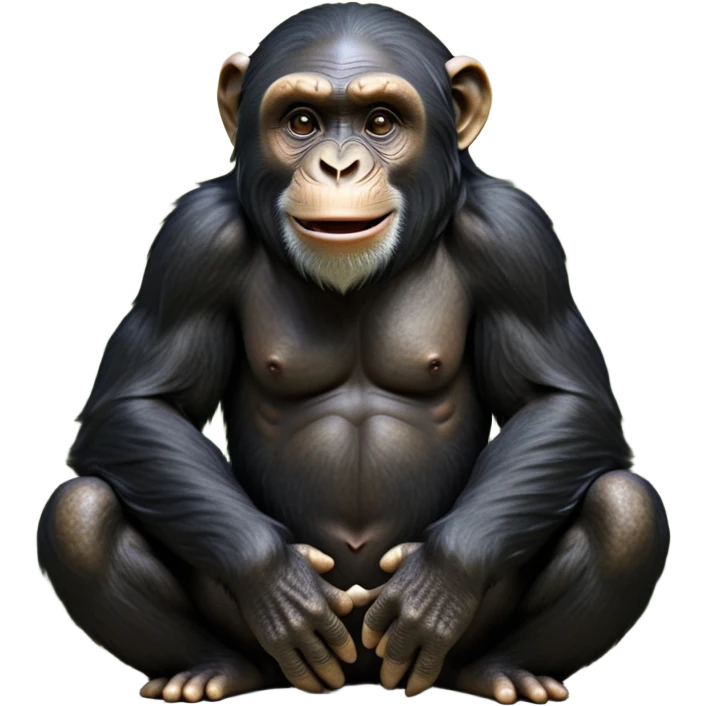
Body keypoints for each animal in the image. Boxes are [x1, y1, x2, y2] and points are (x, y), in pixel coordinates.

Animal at [35, 3, 670, 703]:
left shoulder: (517, 239)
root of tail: (362, 679)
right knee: (81, 514)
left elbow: (561, 402)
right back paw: (211, 670)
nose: (338, 168)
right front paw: (276, 583)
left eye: (381, 122)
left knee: (625, 509)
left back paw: (505, 670)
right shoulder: (192, 242)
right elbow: (141, 406)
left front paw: (438, 583)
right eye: (302, 122)